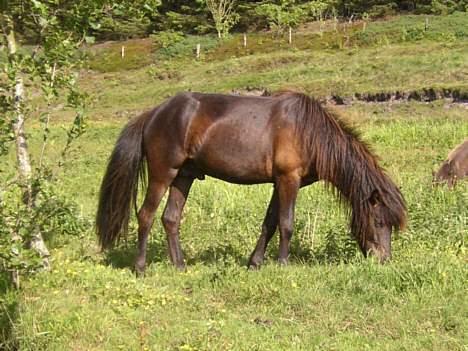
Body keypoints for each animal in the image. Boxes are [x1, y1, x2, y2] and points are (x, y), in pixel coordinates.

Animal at [96, 91, 406, 276]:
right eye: (379, 222)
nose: (384, 260)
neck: (309, 133)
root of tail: (153, 114)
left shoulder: (278, 183)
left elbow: (270, 222)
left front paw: (255, 263)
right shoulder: (288, 179)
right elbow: (286, 223)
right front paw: (282, 264)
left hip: (183, 177)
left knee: (170, 219)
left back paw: (180, 265)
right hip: (164, 174)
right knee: (145, 216)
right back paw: (140, 268)